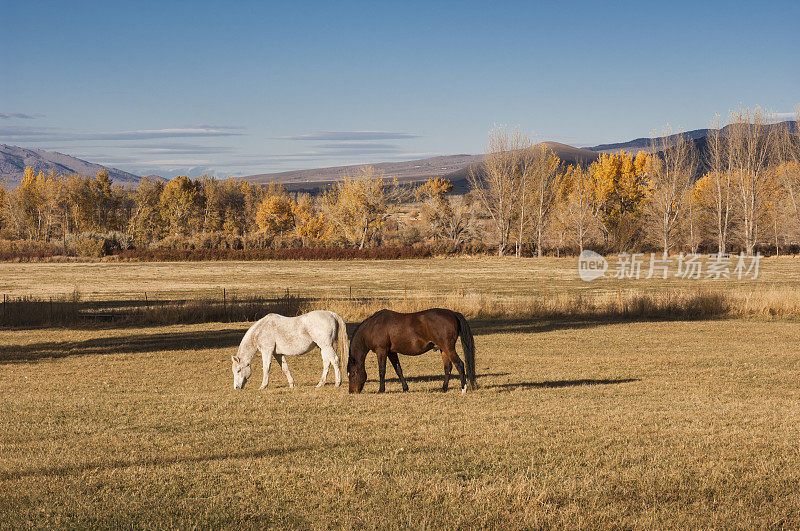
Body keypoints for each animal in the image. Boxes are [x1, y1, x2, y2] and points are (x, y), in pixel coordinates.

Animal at [346, 308, 476, 394]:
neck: (373, 327)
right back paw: (444, 389)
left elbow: (382, 371)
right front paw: (405, 388)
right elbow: (398, 370)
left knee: (459, 364)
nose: (352, 391)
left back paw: (463, 389)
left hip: (448, 348)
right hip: (443, 349)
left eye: (353, 374)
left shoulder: (381, 351)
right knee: (448, 368)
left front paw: (381, 390)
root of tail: (453, 313)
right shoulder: (391, 352)